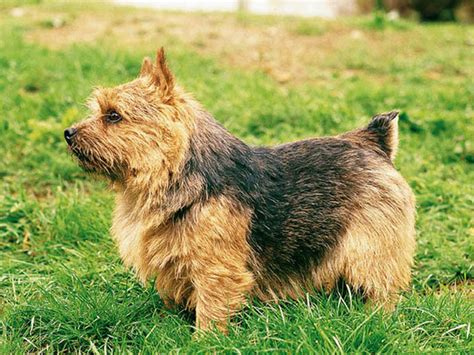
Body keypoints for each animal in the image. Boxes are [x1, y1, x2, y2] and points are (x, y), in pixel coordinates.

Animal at [65, 49, 414, 334]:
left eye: (113, 115)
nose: (68, 133)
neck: (172, 175)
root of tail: (372, 141)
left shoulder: (215, 268)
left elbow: (211, 307)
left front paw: (203, 341)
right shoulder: (171, 262)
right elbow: (171, 297)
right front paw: (164, 325)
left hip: (371, 246)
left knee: (382, 286)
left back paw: (375, 319)